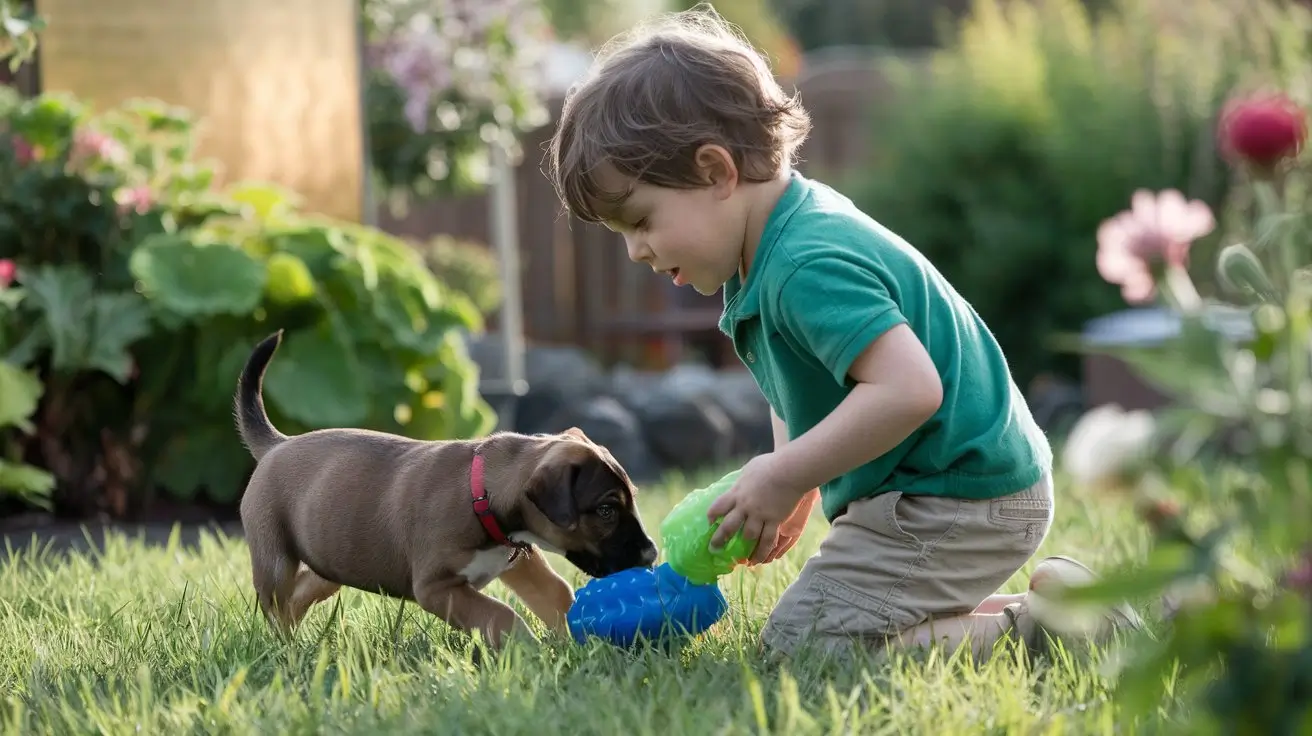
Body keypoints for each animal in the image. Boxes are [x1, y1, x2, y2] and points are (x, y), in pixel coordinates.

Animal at [233, 330, 656, 645]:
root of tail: (278, 444)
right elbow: (501, 615)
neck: (482, 494)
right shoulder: (438, 588)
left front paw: (574, 646)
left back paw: (298, 643)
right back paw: (285, 650)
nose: (651, 555)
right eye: (606, 510)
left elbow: (556, 594)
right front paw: (529, 651)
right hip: (275, 558)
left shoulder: (520, 563)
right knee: (277, 604)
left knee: (298, 596)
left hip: (331, 560)